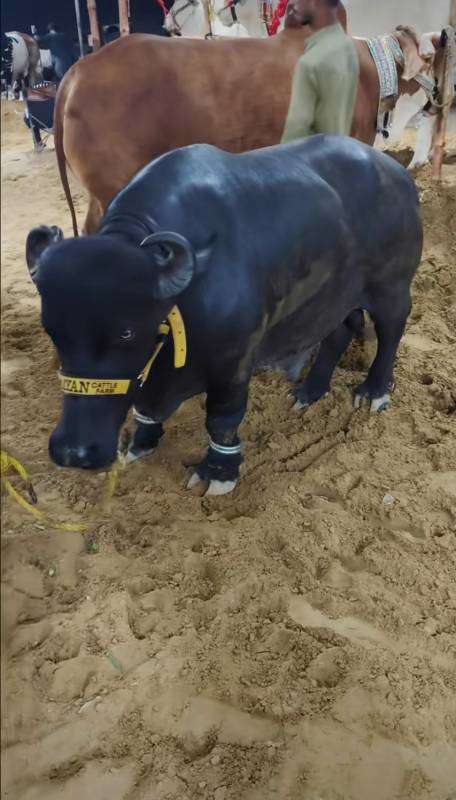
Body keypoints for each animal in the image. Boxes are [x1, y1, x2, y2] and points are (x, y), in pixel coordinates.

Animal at [26, 136, 422, 495]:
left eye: (126, 332)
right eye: (52, 331)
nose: (75, 452)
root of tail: (395, 172)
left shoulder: (235, 360)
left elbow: (222, 419)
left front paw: (217, 472)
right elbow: (143, 406)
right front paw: (142, 440)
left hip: (392, 285)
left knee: (391, 331)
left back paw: (373, 391)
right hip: (334, 297)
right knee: (339, 331)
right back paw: (309, 390)